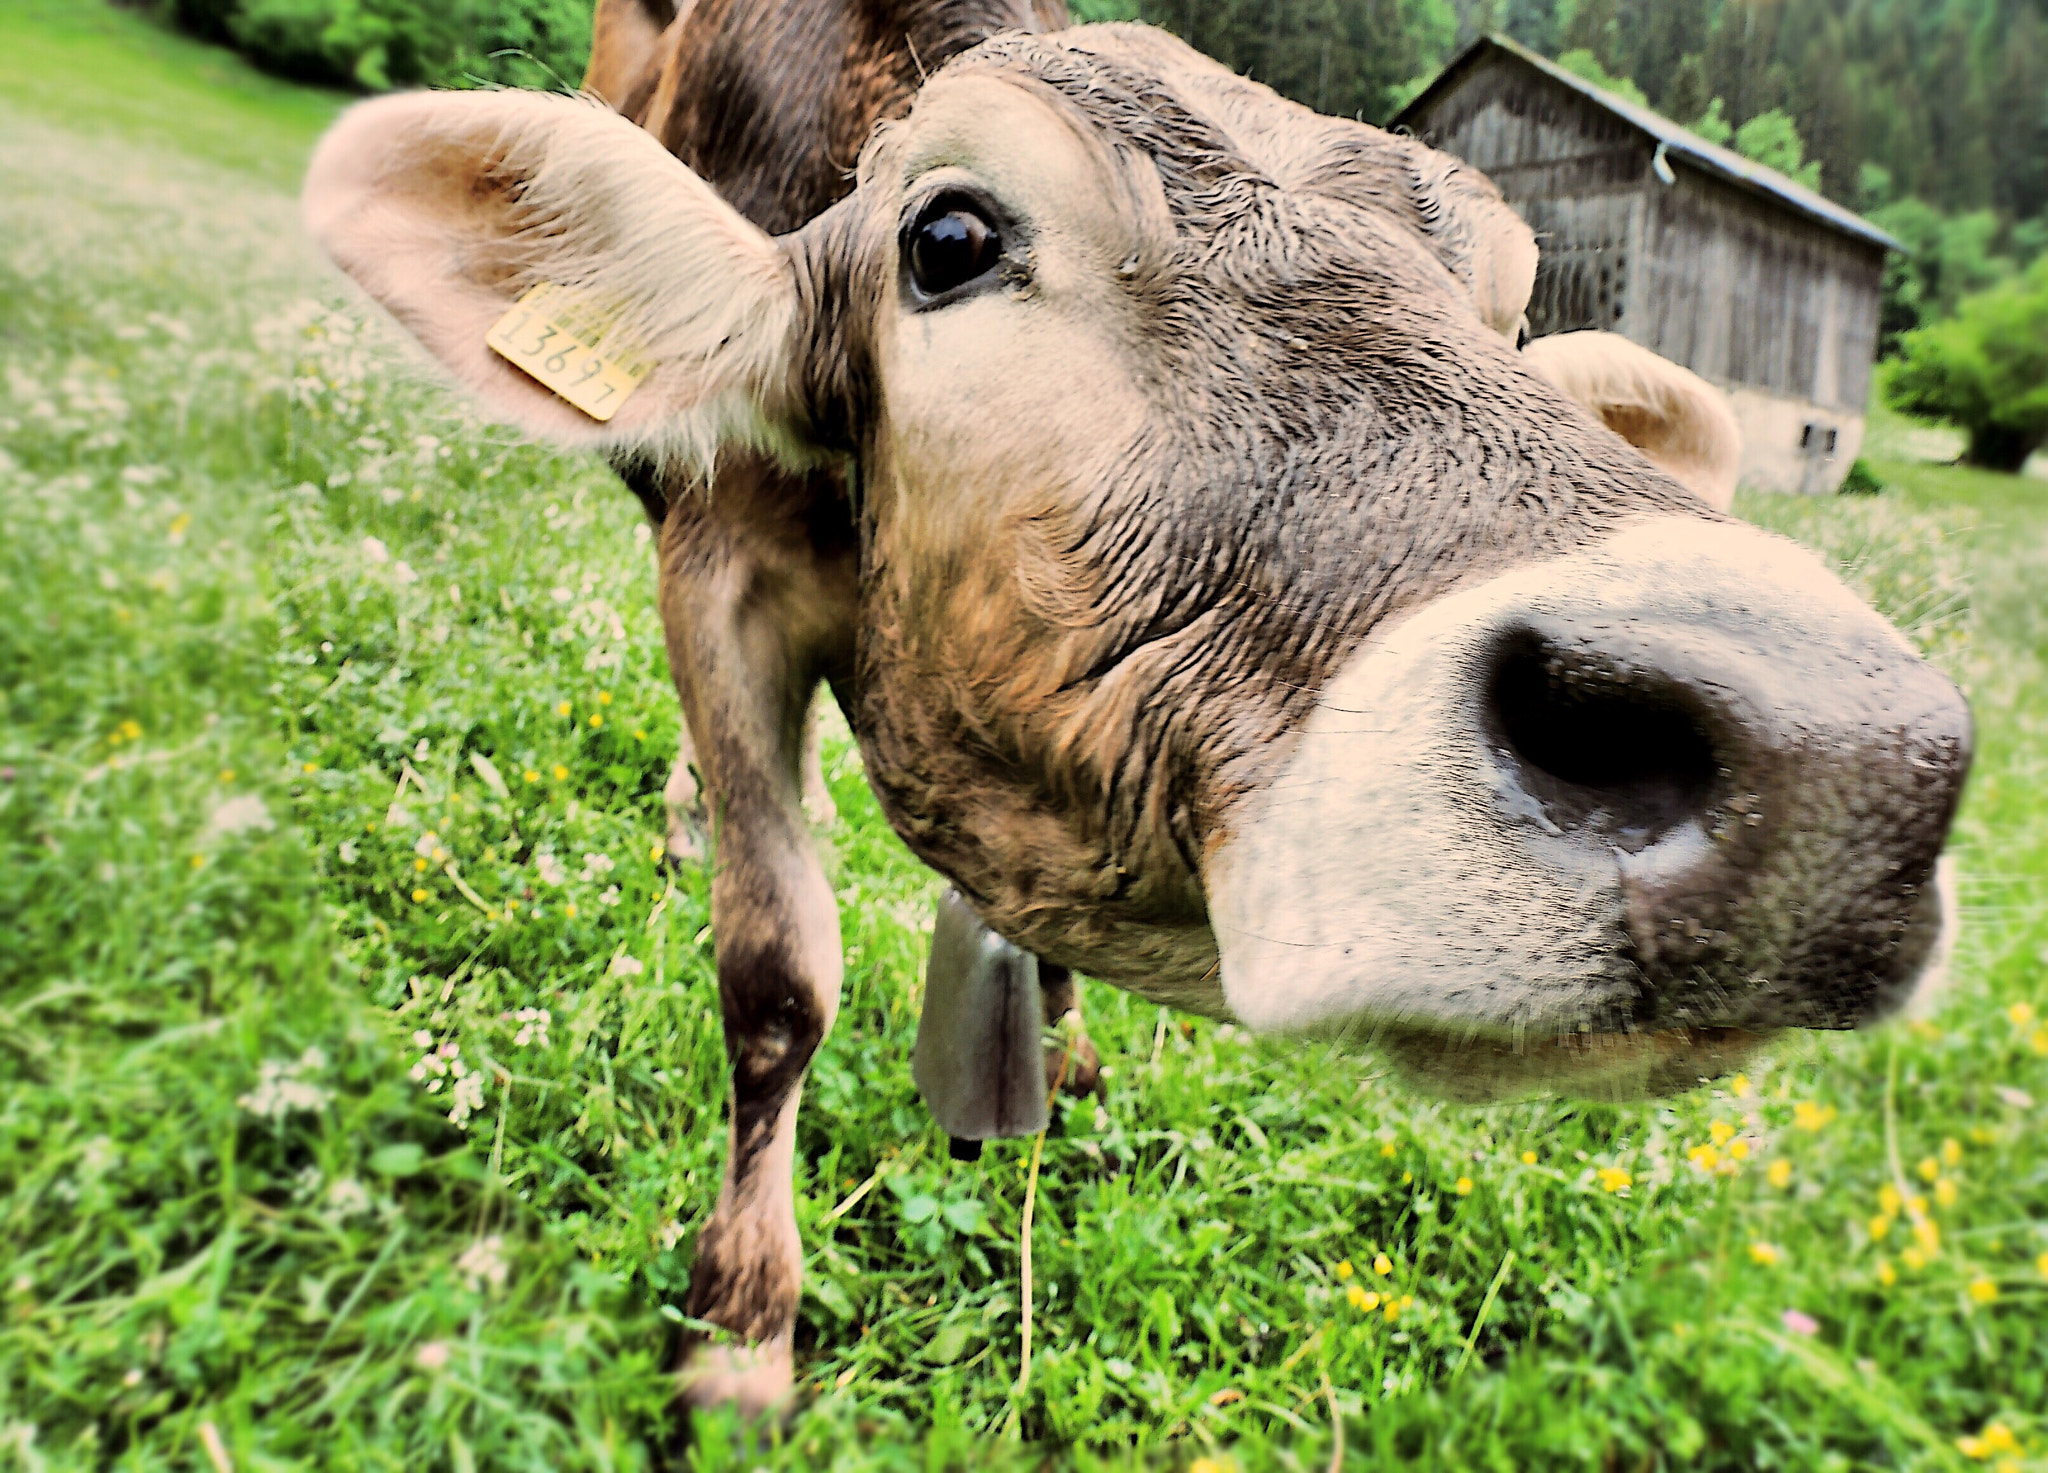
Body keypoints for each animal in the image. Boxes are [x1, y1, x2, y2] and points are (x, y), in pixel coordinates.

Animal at [300, 16, 1969, 1416]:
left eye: (1506, 320)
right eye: (949, 239)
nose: (1837, 760)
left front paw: (1070, 1054)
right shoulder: (718, 560)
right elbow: (776, 973)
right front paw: (740, 1333)